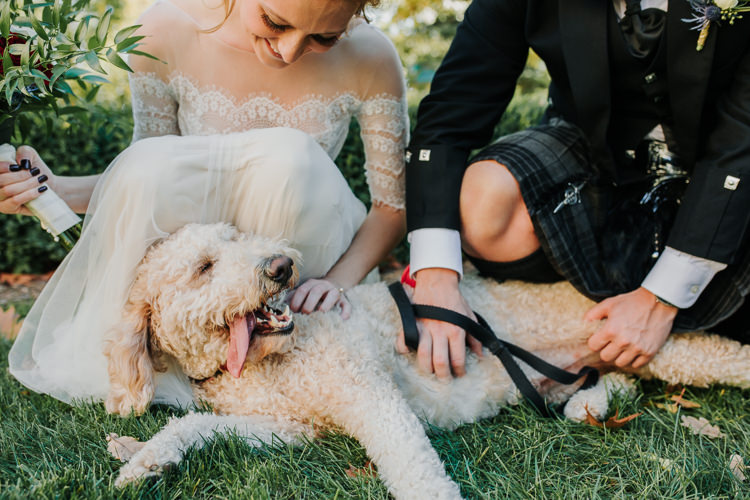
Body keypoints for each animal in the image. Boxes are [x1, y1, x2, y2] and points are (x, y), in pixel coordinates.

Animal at [107, 224, 750, 500]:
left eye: (237, 239)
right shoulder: (291, 429)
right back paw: (589, 402)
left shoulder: (368, 396)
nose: (281, 266)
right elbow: (195, 425)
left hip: (674, 346)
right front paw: (146, 460)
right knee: (622, 380)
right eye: (204, 268)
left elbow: (414, 469)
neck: (267, 364)